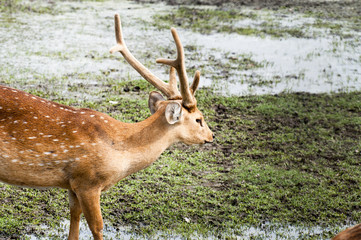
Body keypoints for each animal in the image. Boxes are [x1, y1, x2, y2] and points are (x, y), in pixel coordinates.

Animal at [0, 14, 212, 239]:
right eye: (199, 119)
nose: (211, 136)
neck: (119, 149)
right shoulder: (88, 181)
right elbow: (97, 226)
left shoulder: (73, 183)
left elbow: (74, 220)